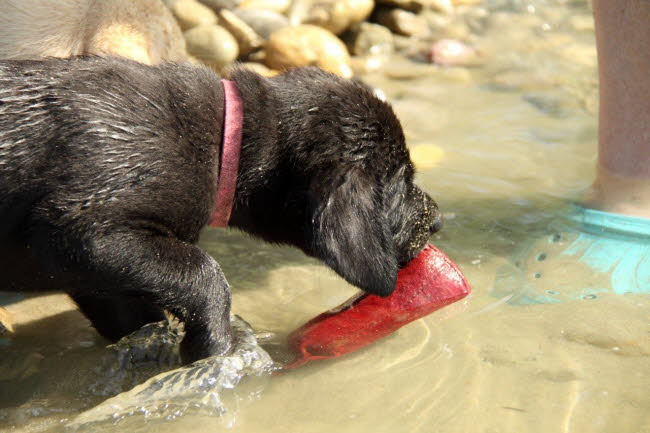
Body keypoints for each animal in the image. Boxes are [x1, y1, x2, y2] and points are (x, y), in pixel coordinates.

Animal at [0, 56, 440, 362]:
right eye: (401, 182)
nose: (436, 221)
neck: (225, 139)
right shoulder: (81, 232)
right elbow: (204, 273)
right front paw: (212, 350)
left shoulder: (90, 273)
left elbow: (131, 313)